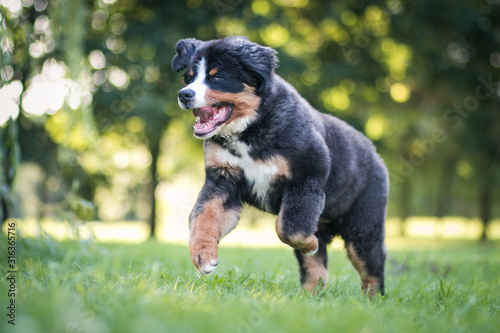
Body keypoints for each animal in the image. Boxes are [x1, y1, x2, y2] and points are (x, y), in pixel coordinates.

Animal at [173, 36, 390, 298]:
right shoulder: (222, 179)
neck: (250, 132)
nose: (184, 94)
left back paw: (373, 300)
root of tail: (376, 155)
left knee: (372, 266)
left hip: (363, 225)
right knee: (316, 268)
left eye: (216, 77)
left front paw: (310, 244)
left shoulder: (305, 180)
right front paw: (203, 256)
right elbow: (203, 217)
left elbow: (288, 229)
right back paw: (309, 297)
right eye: (189, 78)